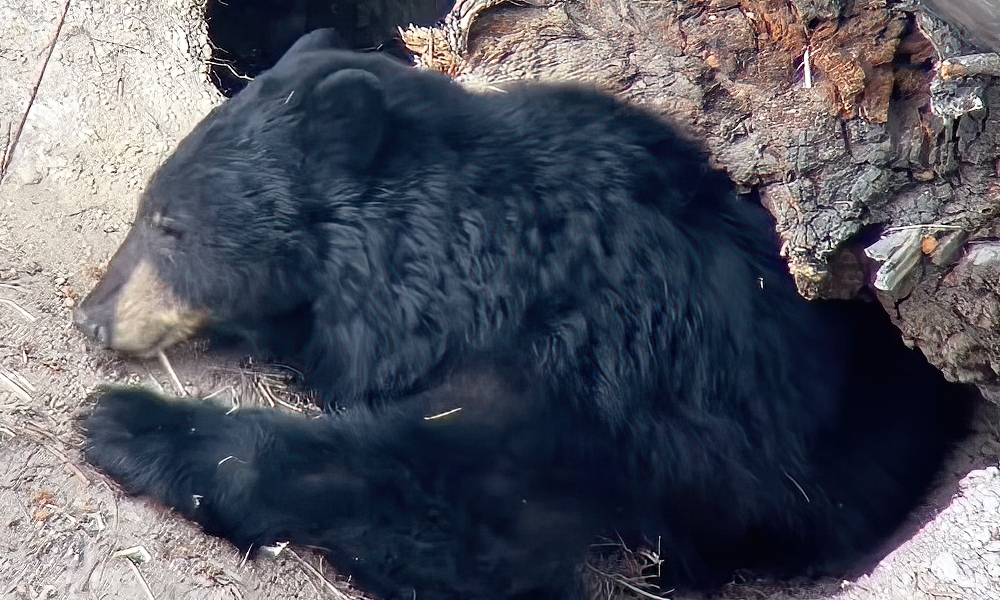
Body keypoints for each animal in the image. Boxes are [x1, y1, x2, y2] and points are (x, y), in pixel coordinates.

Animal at [76, 29, 968, 600]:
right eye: (150, 207)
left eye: (168, 224)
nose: (92, 314)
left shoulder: (605, 376)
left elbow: (463, 507)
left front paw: (133, 424)